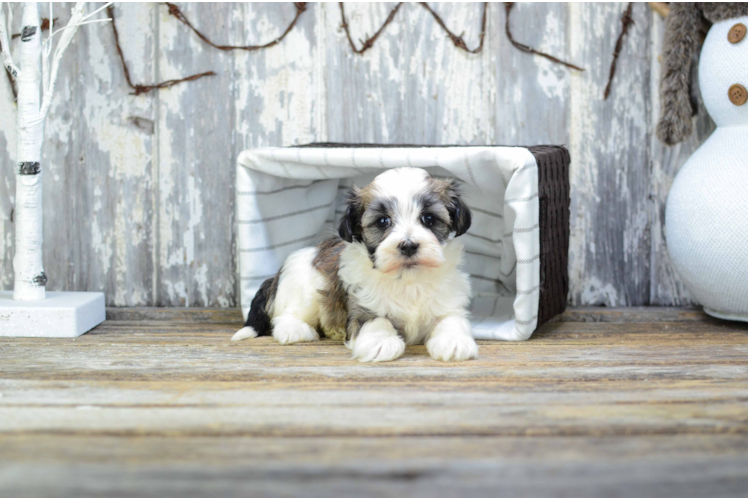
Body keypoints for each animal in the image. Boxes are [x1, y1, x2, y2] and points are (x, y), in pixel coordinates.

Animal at [232, 168, 480, 364]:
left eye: (429, 218)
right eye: (383, 221)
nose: (408, 245)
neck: (407, 279)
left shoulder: (449, 302)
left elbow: (452, 320)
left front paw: (453, 341)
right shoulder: (361, 303)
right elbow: (374, 319)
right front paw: (381, 342)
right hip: (305, 287)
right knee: (287, 315)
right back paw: (295, 330)